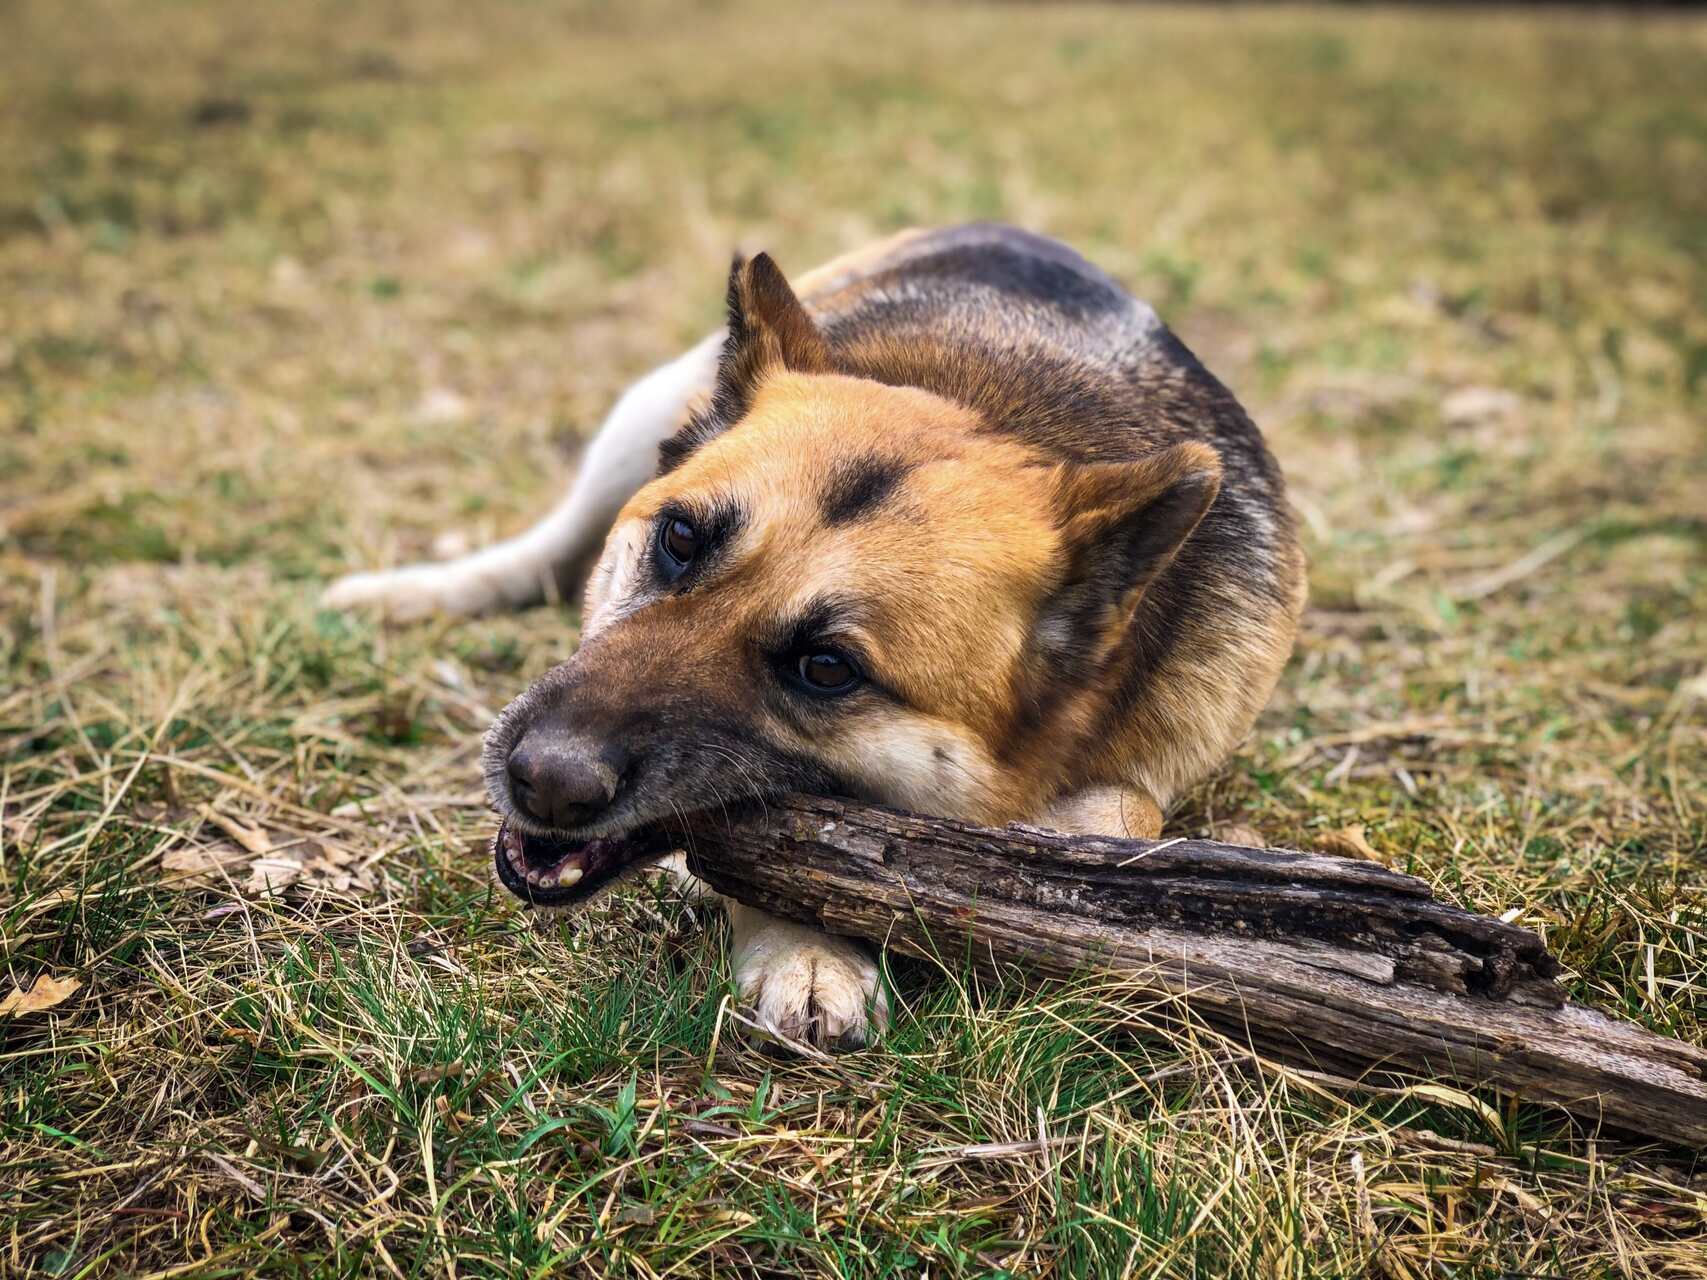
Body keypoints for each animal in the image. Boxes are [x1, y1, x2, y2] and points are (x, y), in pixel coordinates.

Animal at [322, 228, 1304, 1051]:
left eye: (826, 668)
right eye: (680, 539)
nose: (542, 783)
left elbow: (1117, 820)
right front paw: (805, 950)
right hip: (643, 409)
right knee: (549, 546)